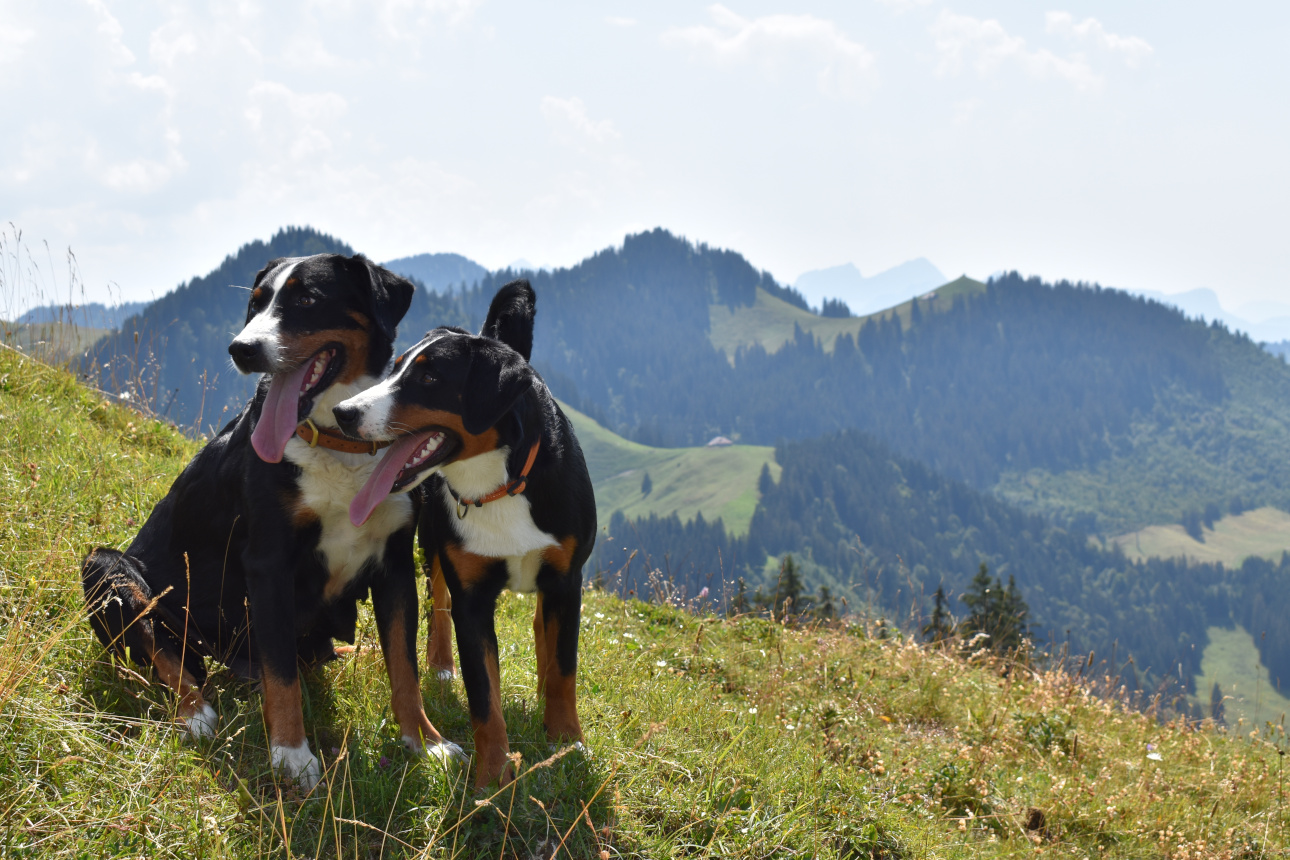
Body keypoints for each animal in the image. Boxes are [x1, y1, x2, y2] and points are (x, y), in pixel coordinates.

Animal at [75, 250, 459, 789]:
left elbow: (405, 669)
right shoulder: (269, 563)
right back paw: (194, 712)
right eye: (254, 305)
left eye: (307, 300)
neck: (339, 444)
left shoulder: (395, 566)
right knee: (161, 649)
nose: (242, 349)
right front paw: (292, 756)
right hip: (110, 569)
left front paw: (426, 743)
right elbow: (281, 674)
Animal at [332, 281, 593, 789]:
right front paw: (491, 775)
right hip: (433, 540)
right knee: (438, 603)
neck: (499, 485)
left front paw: (566, 741)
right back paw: (440, 665)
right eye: (394, 369)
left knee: (543, 630)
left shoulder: (566, 581)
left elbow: (564, 670)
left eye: (430, 378)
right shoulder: (472, 597)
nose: (343, 412)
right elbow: (483, 695)